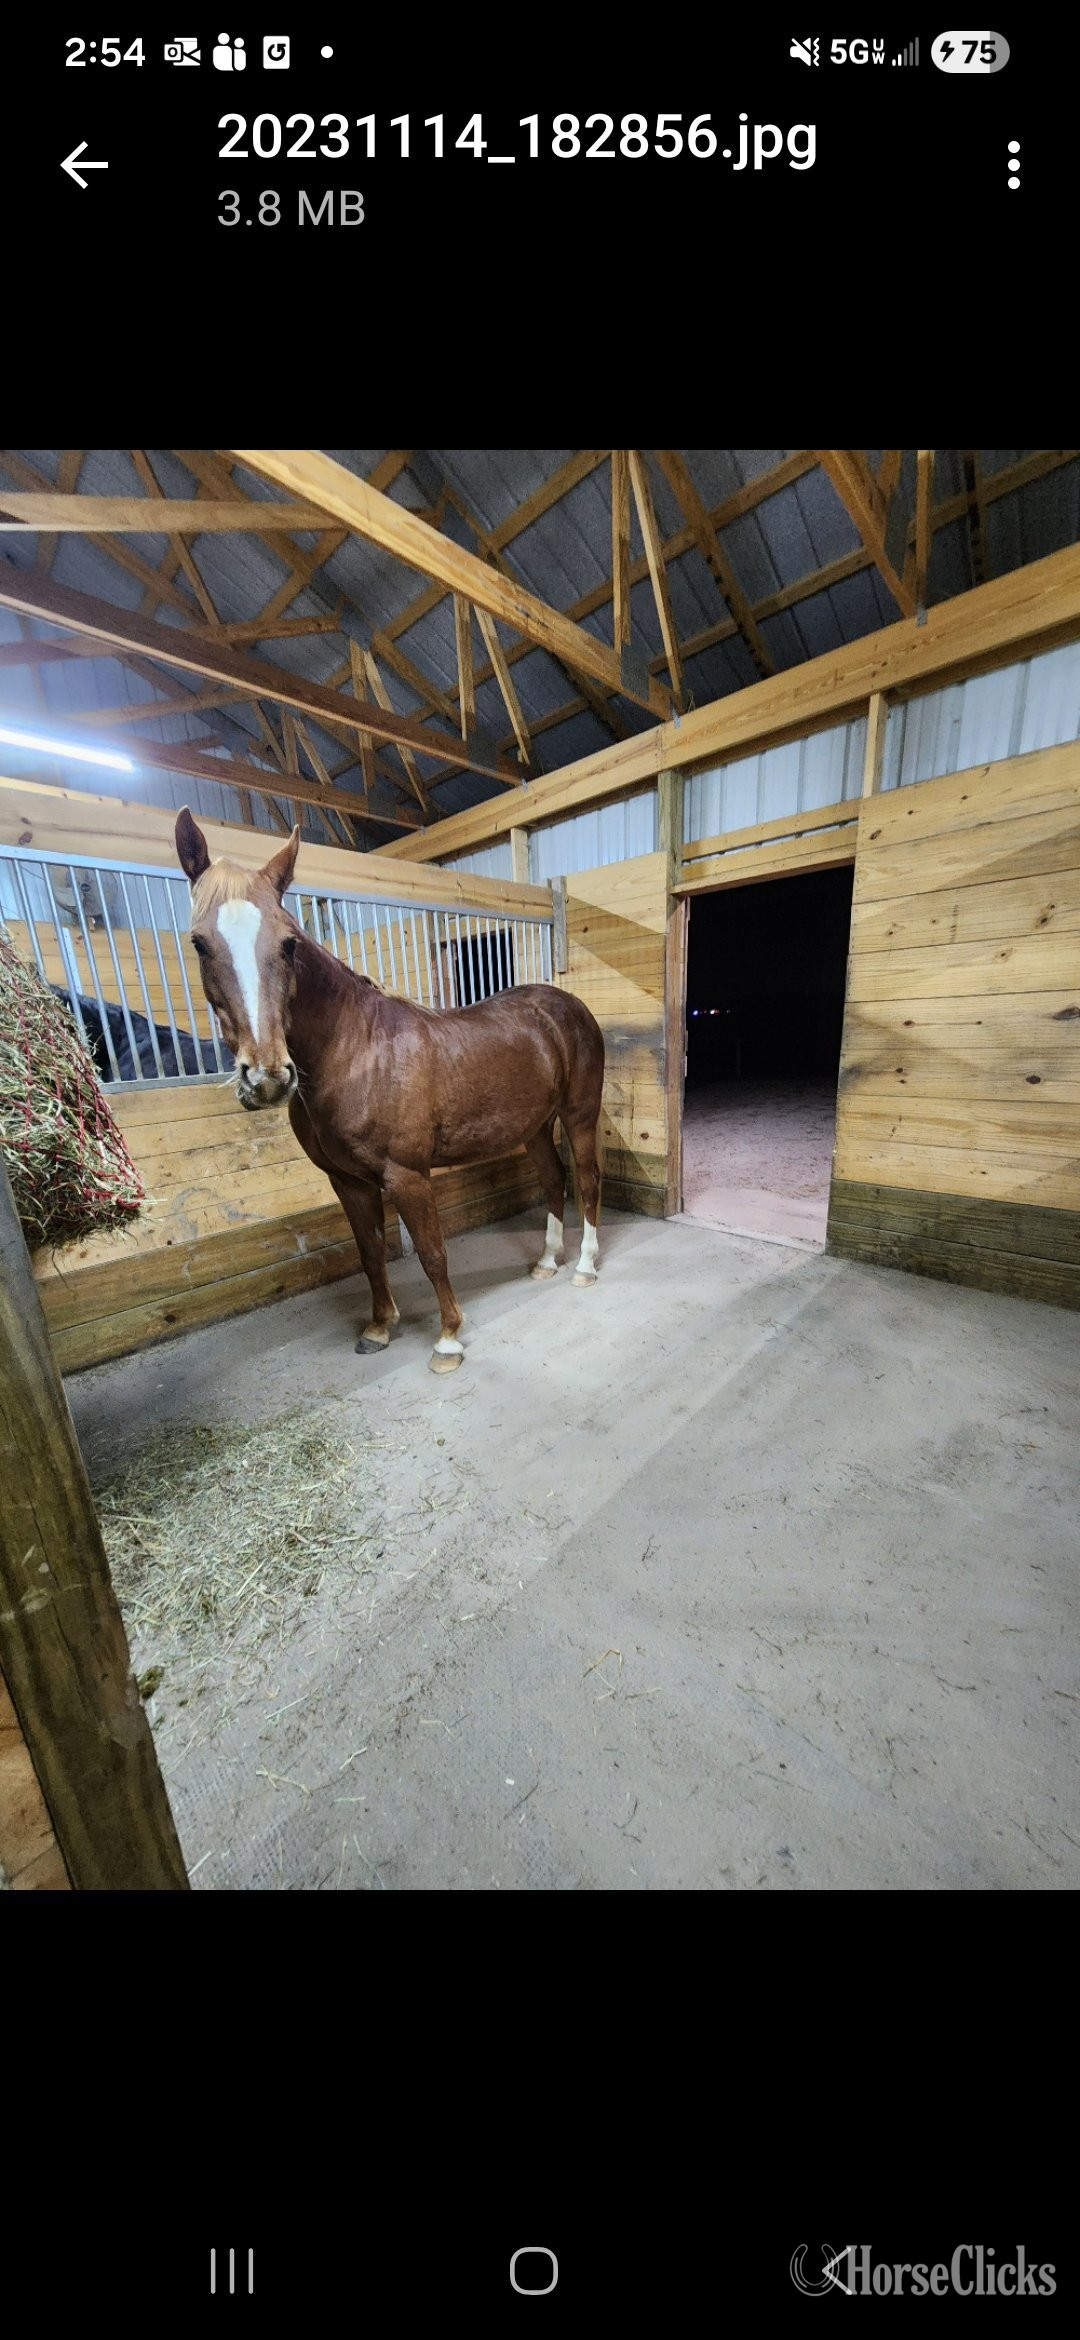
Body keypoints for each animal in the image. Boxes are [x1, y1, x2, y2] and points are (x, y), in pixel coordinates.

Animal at [174, 809, 606, 1374]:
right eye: (199, 942)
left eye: (289, 943)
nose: (267, 1075)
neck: (354, 1051)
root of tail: (568, 1006)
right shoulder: (348, 1182)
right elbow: (371, 1253)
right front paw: (379, 1328)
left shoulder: (407, 1177)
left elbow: (432, 1253)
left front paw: (448, 1340)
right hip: (534, 1126)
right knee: (555, 1179)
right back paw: (548, 1261)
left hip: (578, 1115)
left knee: (587, 1180)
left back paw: (585, 1267)